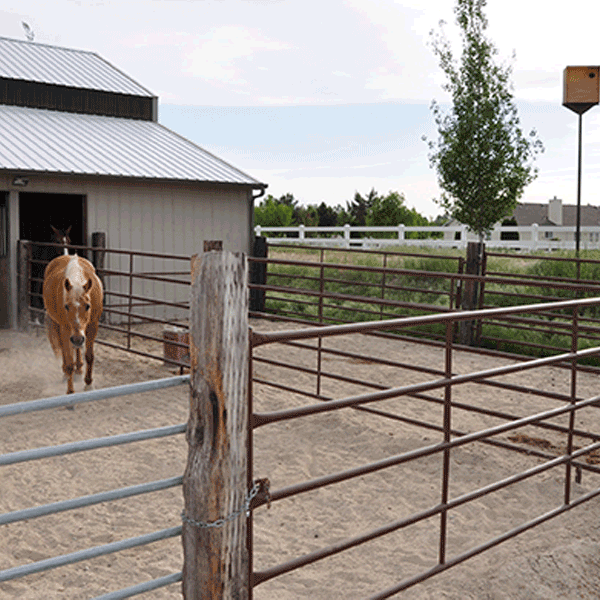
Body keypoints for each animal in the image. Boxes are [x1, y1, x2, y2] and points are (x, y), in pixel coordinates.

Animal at [42, 253, 103, 394]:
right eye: (66, 306)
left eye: (87, 306)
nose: (77, 339)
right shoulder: (66, 329)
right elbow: (69, 361)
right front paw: (70, 392)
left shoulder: (92, 326)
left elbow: (89, 356)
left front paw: (88, 384)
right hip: (59, 327)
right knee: (65, 351)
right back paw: (66, 374)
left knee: (77, 349)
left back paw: (79, 370)